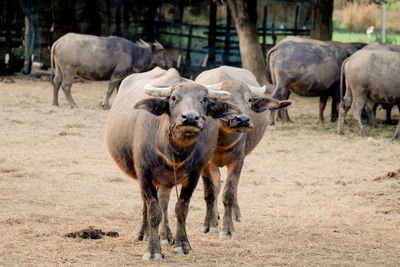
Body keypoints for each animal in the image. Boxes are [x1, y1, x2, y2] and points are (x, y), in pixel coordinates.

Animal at [104, 67, 242, 262]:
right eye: (174, 98)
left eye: (204, 99)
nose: (190, 118)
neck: (175, 151)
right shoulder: (144, 173)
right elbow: (153, 210)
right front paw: (153, 250)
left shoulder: (194, 174)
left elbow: (181, 208)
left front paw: (182, 244)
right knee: (147, 203)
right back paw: (145, 234)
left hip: (167, 179)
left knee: (164, 201)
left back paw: (166, 235)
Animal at [195, 66, 290, 240]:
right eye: (226, 102)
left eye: (249, 100)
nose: (243, 120)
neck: (222, 140)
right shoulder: (204, 162)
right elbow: (210, 192)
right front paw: (209, 224)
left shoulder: (238, 160)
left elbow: (229, 193)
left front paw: (227, 230)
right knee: (217, 186)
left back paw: (235, 214)